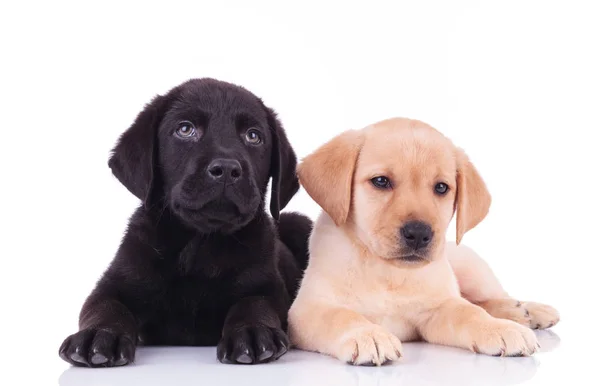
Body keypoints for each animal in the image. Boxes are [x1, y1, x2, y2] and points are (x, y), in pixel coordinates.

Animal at [59, 77, 314, 364]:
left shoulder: (266, 286)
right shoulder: (114, 283)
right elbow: (105, 307)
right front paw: (98, 335)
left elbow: (254, 303)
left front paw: (252, 331)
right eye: (185, 129)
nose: (227, 169)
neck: (200, 245)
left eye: (253, 136)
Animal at [288, 117, 560, 364]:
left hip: (472, 266)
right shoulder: (307, 310)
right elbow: (341, 316)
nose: (419, 233)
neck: (387, 272)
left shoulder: (440, 306)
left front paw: (500, 328)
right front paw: (368, 335)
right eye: (380, 181)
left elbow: (469, 312)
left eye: (441, 187)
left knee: (488, 298)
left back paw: (527, 310)